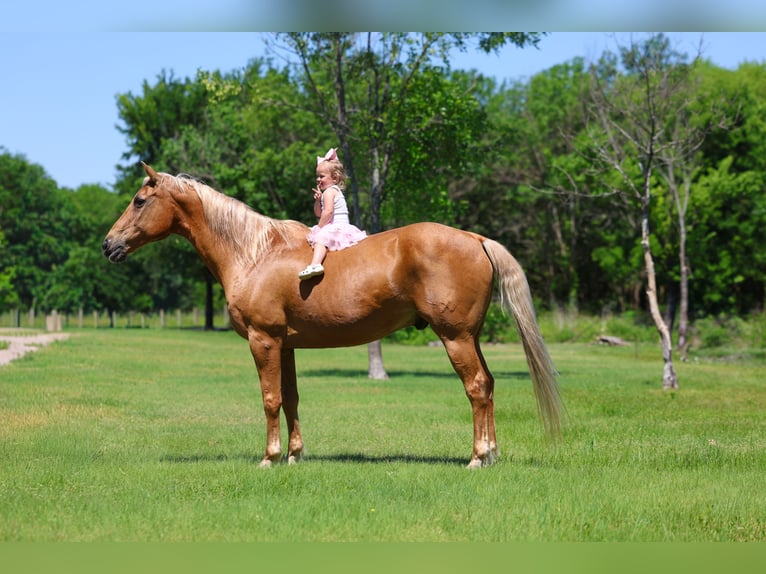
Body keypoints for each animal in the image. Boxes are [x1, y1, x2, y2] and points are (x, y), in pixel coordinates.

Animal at [102, 162, 564, 468]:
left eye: (139, 201)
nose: (109, 245)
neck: (254, 253)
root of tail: (474, 237)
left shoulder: (263, 340)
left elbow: (269, 399)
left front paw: (269, 458)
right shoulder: (285, 345)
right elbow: (290, 398)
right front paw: (294, 456)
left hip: (455, 338)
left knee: (477, 388)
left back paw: (477, 457)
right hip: (471, 336)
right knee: (489, 385)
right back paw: (492, 454)